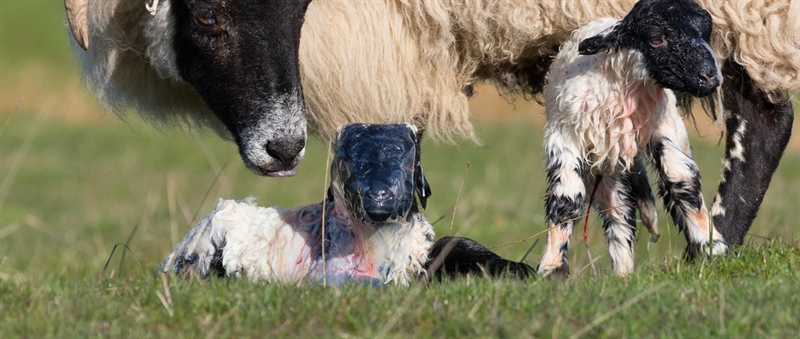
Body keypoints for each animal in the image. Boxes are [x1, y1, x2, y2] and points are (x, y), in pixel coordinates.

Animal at [536, 0, 728, 278]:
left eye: (706, 33)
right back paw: (622, 273)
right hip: (605, 164)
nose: (710, 77)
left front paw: (713, 245)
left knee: (623, 208)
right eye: (656, 39)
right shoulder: (565, 138)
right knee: (618, 210)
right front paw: (551, 268)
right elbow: (567, 198)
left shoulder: (664, 130)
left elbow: (682, 181)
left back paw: (624, 272)